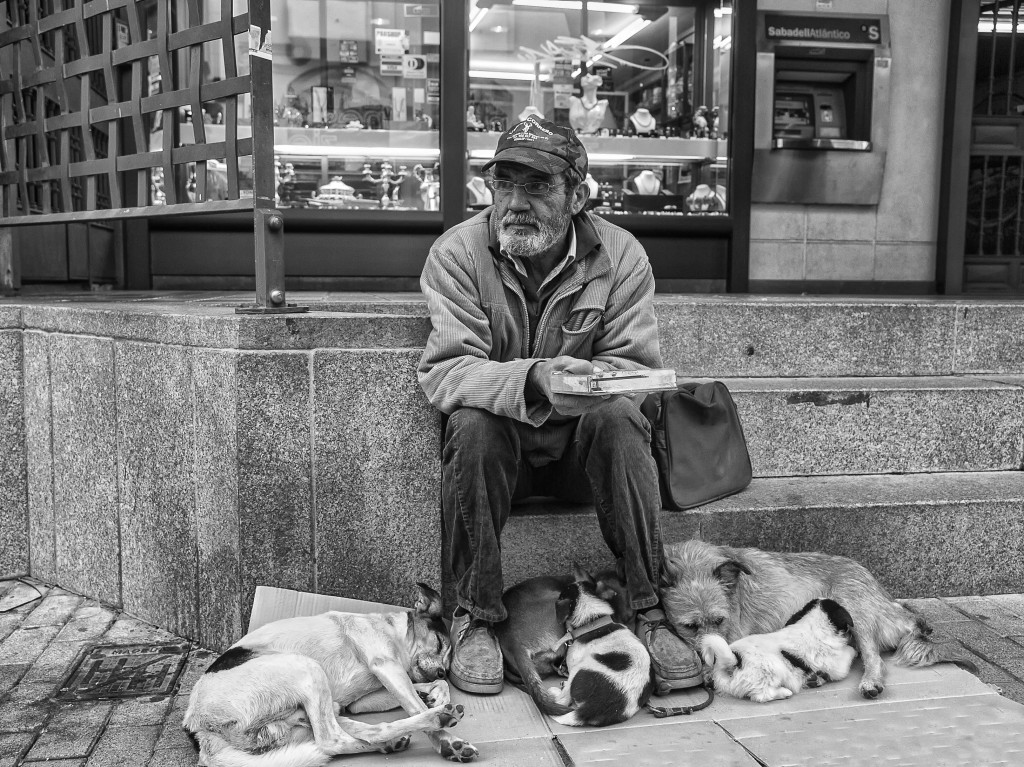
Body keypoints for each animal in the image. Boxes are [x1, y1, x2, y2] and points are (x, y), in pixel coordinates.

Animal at [184, 581, 479, 761]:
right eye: (439, 642)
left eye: (448, 664)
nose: (442, 672)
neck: (391, 630)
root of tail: (199, 728)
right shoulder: (386, 665)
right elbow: (414, 703)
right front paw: (445, 739)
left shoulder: (364, 700)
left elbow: (426, 690)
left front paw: (436, 695)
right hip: (307, 668)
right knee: (330, 741)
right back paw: (439, 719)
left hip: (315, 710)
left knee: (361, 731)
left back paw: (391, 742)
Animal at [700, 593, 860, 704]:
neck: (812, 625)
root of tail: (734, 660)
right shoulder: (837, 665)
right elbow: (848, 654)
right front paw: (855, 650)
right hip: (772, 670)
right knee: (761, 695)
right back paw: (784, 692)